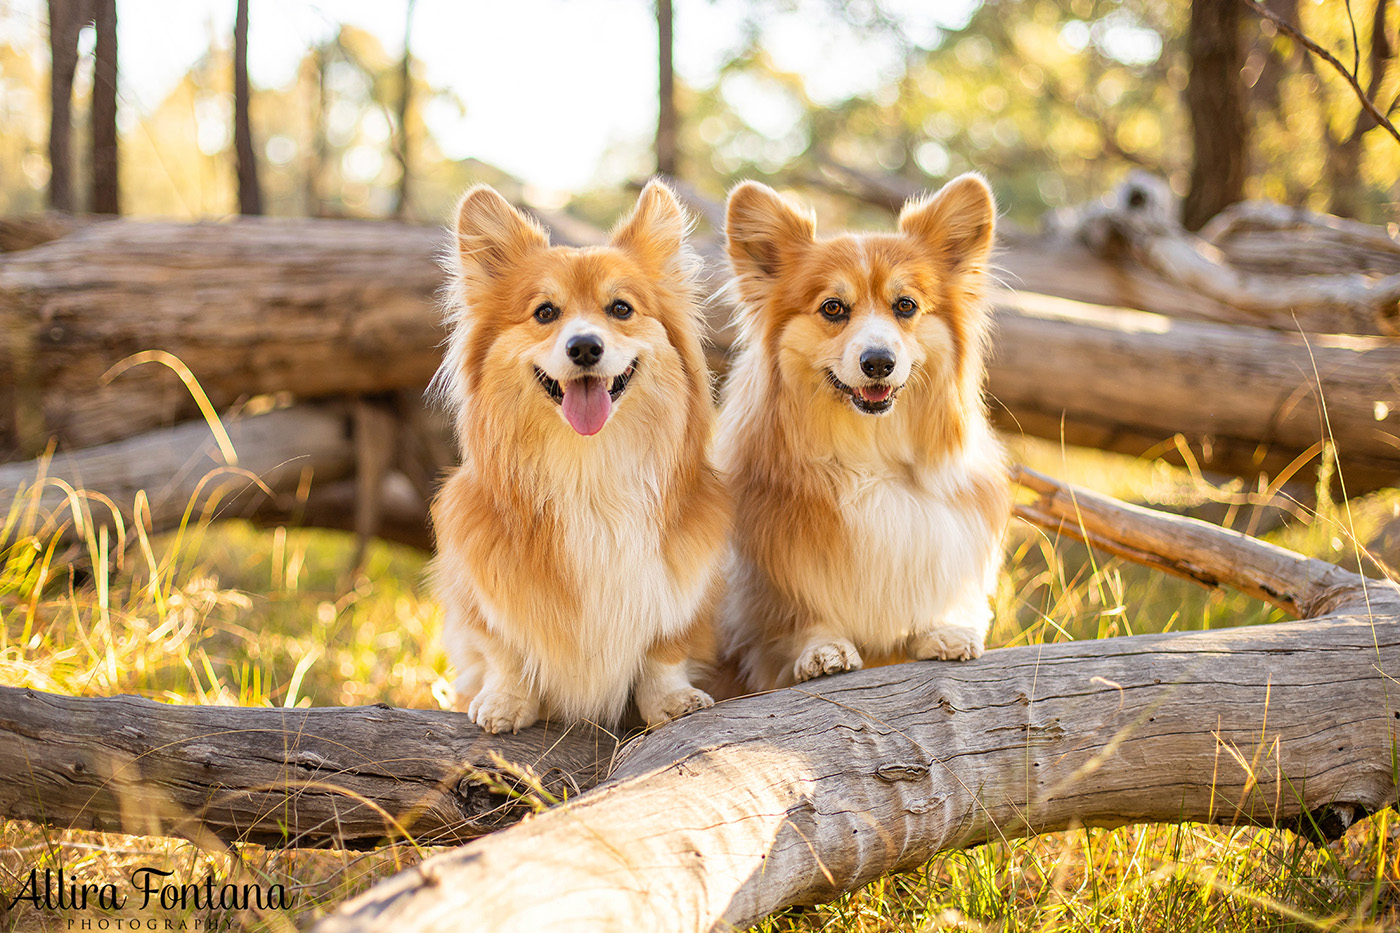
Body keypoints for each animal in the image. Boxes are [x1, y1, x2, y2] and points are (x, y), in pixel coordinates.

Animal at [431, 182, 728, 728]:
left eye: (621, 309)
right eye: (545, 312)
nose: (585, 347)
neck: (589, 467)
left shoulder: (685, 587)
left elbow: (665, 651)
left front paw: (671, 700)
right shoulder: (483, 590)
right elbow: (504, 649)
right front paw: (506, 701)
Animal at [722, 174, 1008, 689]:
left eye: (906, 305)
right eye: (833, 308)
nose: (878, 362)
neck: (872, 453)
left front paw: (945, 632)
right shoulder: (771, 578)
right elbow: (798, 618)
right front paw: (822, 650)